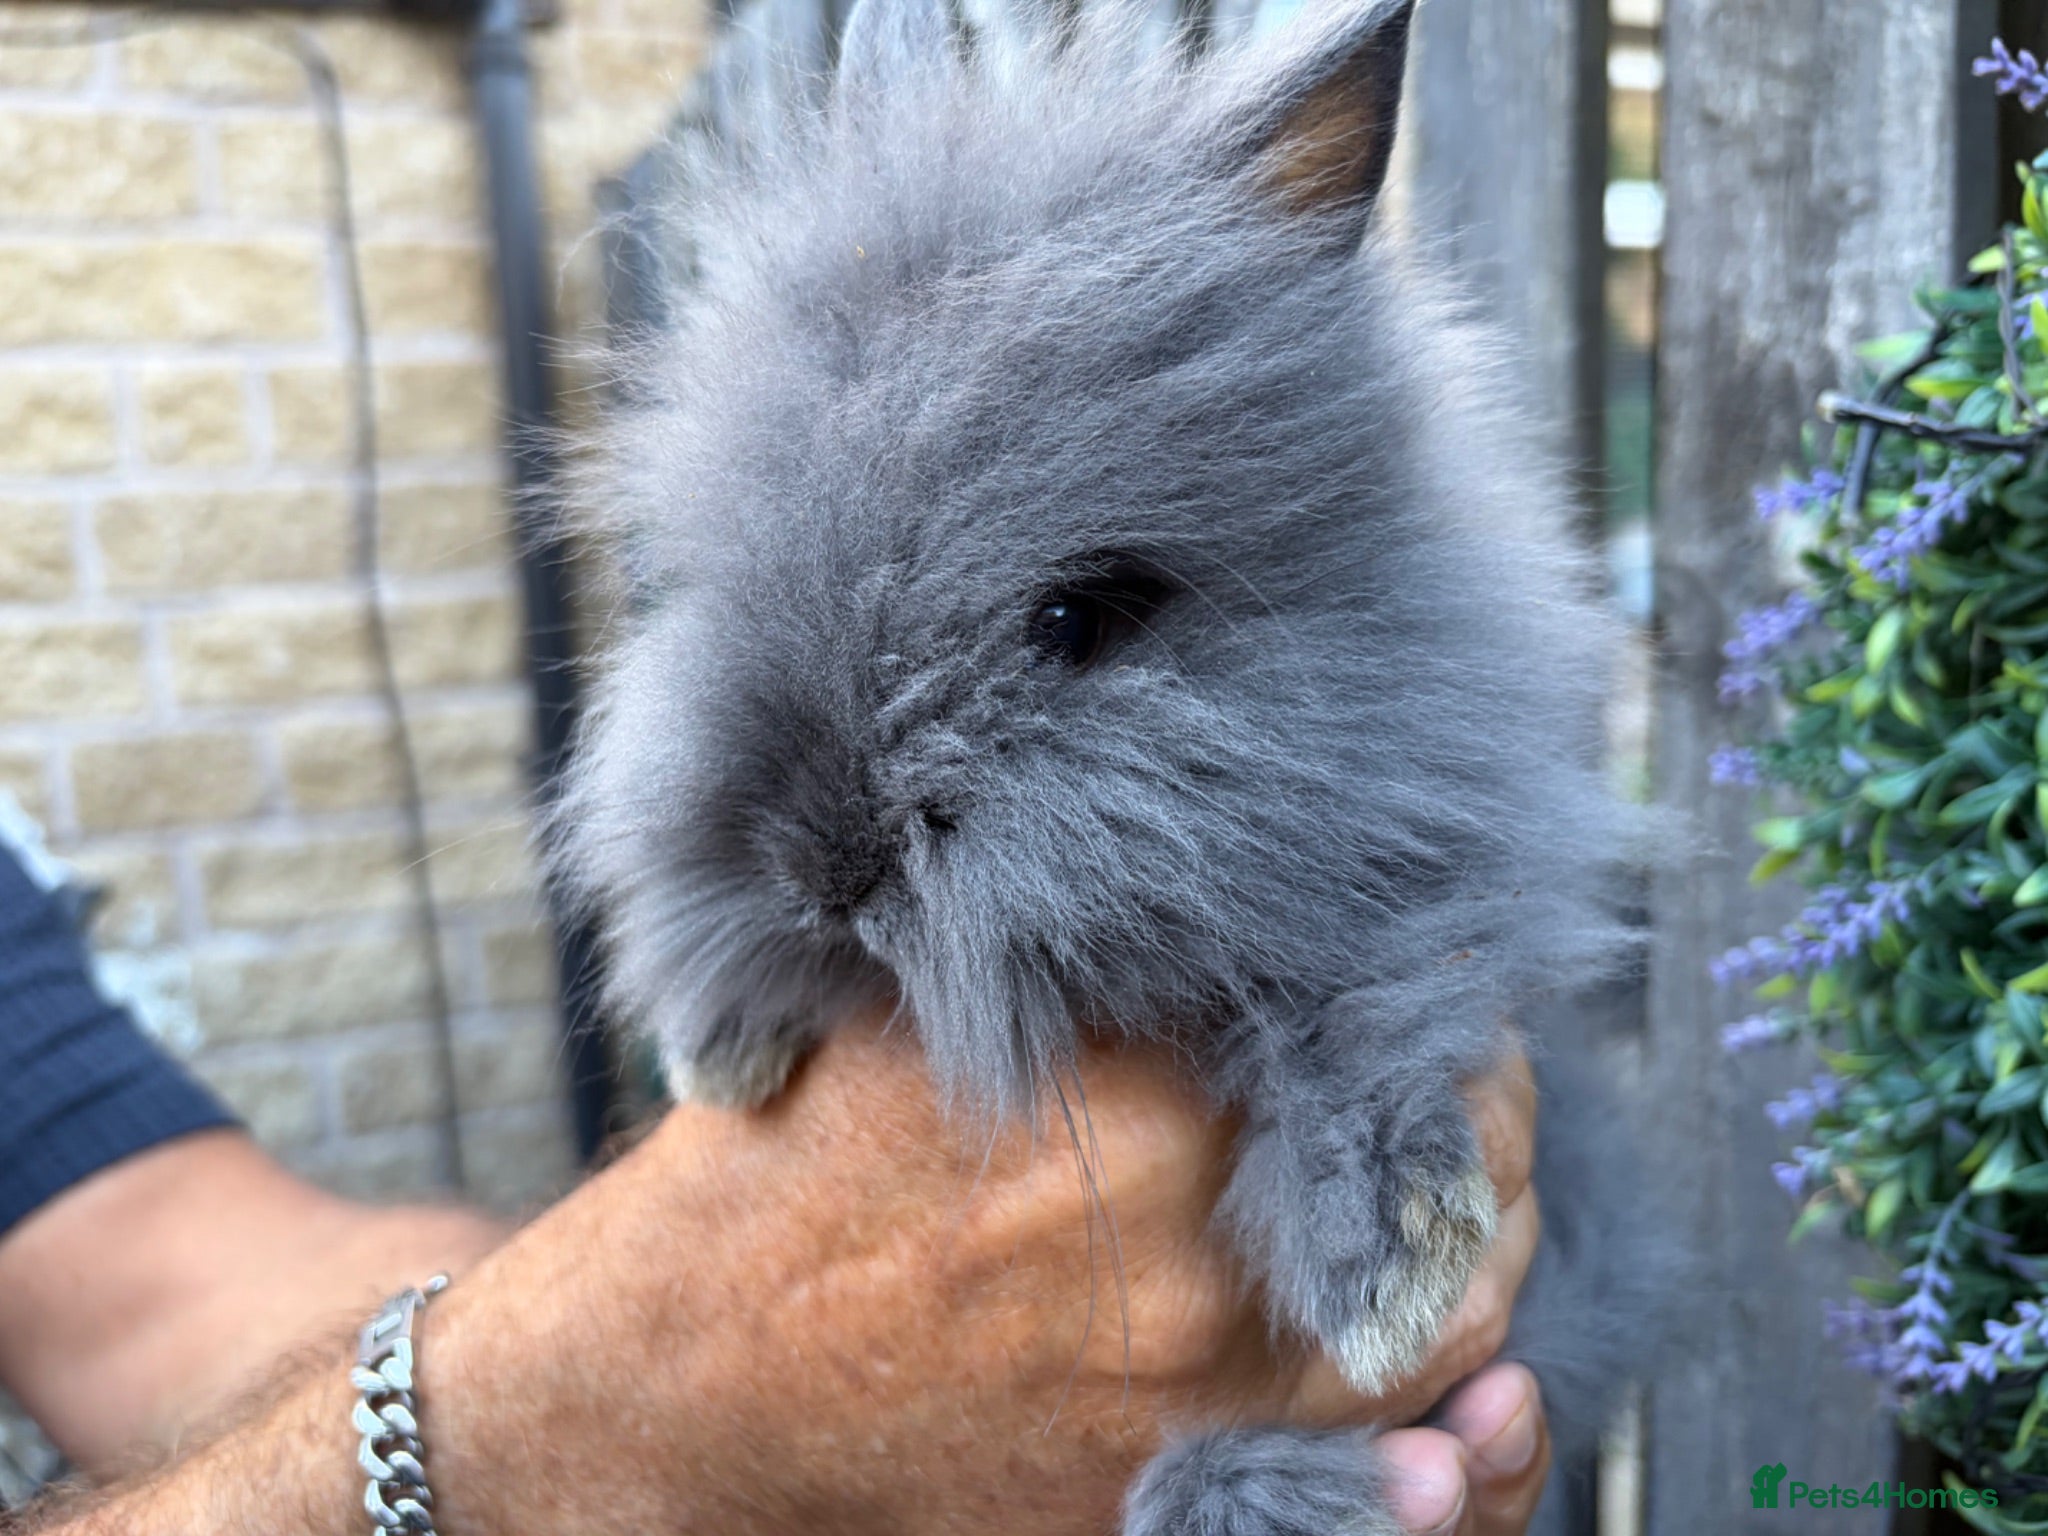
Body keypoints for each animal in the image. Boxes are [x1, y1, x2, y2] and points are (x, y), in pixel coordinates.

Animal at [555, 0, 1673, 1529]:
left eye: (1075, 621)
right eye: (735, 585)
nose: (821, 869)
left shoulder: (1441, 870)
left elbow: (1372, 1007)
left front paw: (1394, 1283)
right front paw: (722, 1046)